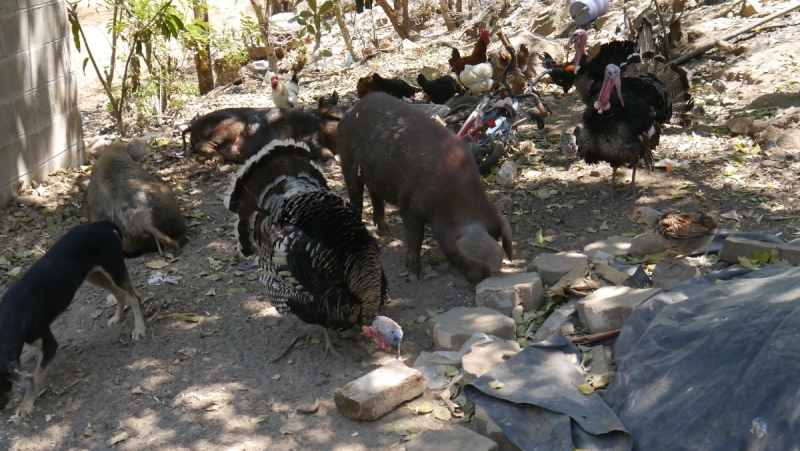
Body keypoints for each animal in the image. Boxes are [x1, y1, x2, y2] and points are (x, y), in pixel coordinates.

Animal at [0, 221, 145, 418]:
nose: (1, 409)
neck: (12, 316)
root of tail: (100, 224)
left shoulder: (49, 344)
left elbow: (36, 377)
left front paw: (25, 405)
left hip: (114, 269)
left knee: (133, 297)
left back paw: (139, 329)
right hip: (93, 275)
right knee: (119, 294)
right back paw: (117, 317)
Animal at [183, 102, 346, 166]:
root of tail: (193, 125)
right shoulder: (308, 136)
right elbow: (322, 149)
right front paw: (333, 162)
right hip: (231, 126)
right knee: (202, 144)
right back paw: (217, 159)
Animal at [336, 91, 512, 282]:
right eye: (466, 256)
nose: (481, 279)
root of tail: (350, 111)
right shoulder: (409, 206)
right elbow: (416, 239)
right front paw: (414, 276)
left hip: (374, 173)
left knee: (375, 196)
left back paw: (385, 232)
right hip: (348, 160)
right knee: (356, 197)